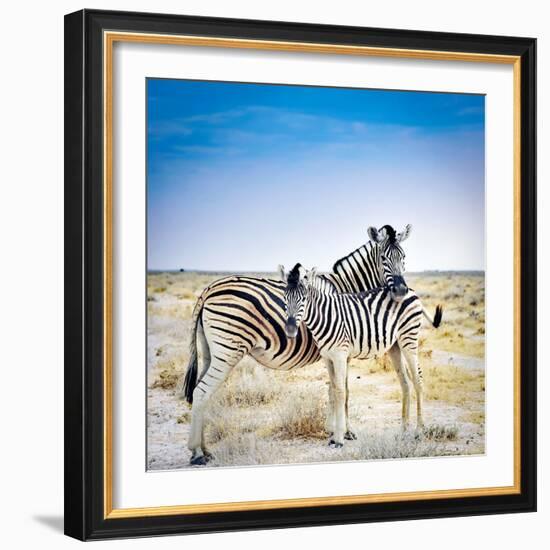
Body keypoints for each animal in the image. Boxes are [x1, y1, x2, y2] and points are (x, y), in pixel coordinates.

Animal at [183, 224, 416, 466]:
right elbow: (343, 391)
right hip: (228, 351)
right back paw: (197, 452)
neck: (347, 290)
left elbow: (334, 389)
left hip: (210, 352)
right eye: (383, 258)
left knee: (202, 392)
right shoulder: (342, 351)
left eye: (404, 257)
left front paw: (333, 431)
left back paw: (204, 450)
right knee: (201, 391)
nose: (401, 291)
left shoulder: (334, 351)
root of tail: (209, 288)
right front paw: (345, 432)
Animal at [284, 266, 444, 450]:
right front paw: (333, 435)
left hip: (408, 338)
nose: (290, 329)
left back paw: (418, 432)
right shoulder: (327, 357)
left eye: (303, 299)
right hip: (395, 345)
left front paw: (339, 438)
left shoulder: (340, 355)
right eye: (284, 298)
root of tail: (410, 290)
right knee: (405, 383)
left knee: (418, 380)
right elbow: (332, 389)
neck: (326, 316)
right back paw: (403, 431)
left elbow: (340, 391)